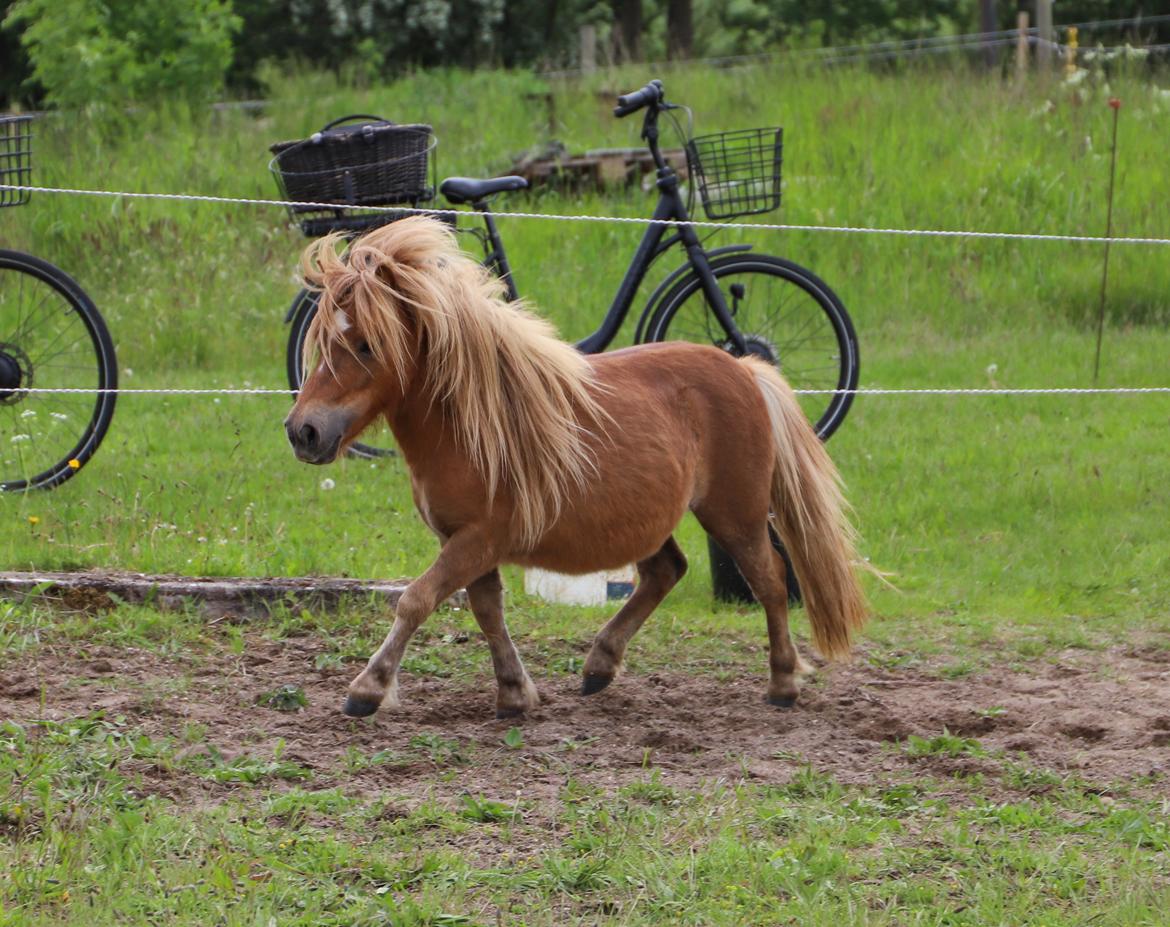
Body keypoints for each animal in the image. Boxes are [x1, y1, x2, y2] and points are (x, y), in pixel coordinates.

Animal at [284, 215, 870, 716]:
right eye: (322, 340)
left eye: (365, 344)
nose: (303, 432)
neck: (469, 425)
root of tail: (746, 368)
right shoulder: (467, 542)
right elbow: (487, 612)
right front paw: (514, 693)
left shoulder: (477, 540)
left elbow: (416, 600)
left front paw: (368, 689)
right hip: (650, 519)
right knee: (666, 571)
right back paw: (599, 666)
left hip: (735, 514)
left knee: (769, 580)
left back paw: (783, 682)